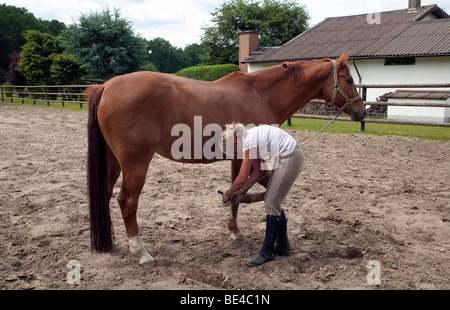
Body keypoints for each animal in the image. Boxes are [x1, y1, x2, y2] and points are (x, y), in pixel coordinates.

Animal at [87, 50, 366, 264]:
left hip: (113, 161)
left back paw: (110, 243)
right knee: (127, 201)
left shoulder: (238, 159)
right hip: (135, 164)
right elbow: (257, 193)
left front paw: (235, 230)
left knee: (106, 193)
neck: (261, 94)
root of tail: (106, 85)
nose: (362, 112)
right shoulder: (252, 158)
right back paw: (141, 253)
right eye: (349, 79)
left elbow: (236, 194)